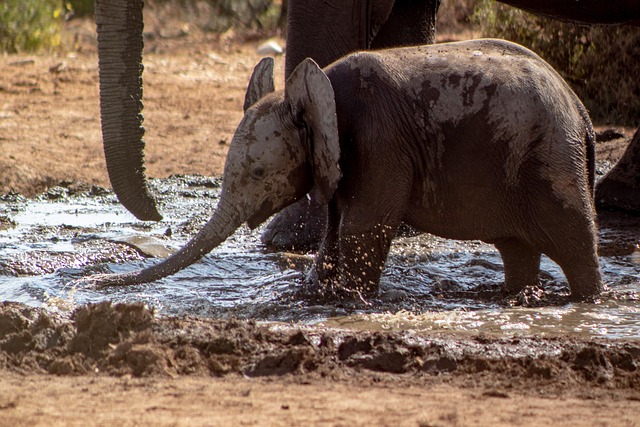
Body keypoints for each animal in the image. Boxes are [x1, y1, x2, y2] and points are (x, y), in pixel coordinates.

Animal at [83, 39, 603, 302]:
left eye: (257, 175)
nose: (96, 284)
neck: (320, 91)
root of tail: (581, 111)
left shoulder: (379, 141)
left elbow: (363, 227)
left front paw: (347, 302)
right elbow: (334, 226)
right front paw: (314, 293)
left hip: (551, 159)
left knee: (573, 241)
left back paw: (586, 302)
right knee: (517, 246)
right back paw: (514, 298)